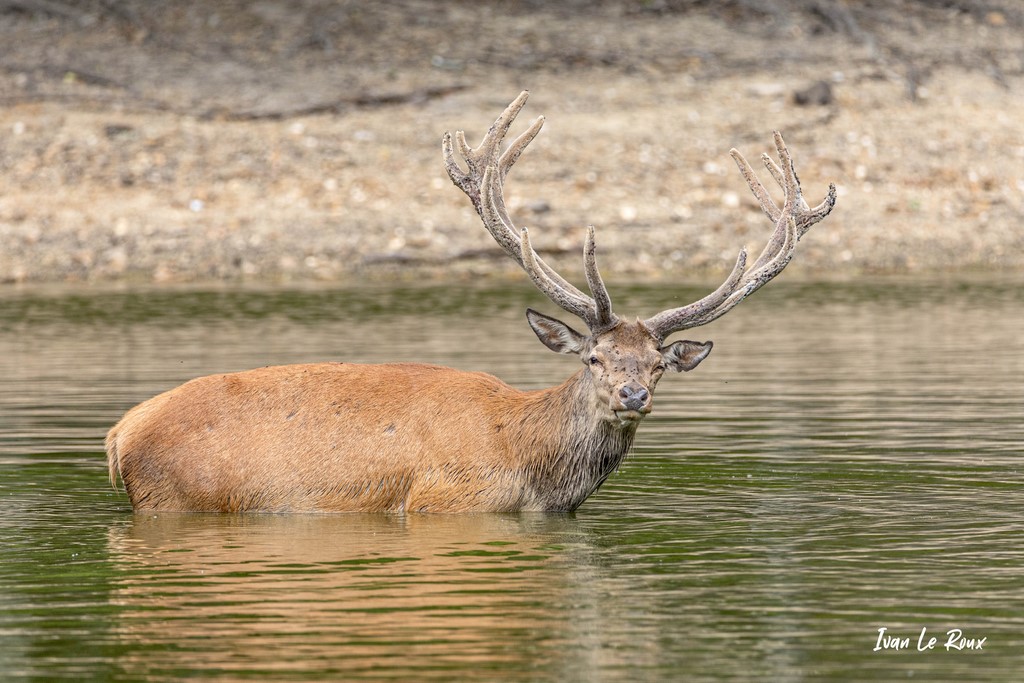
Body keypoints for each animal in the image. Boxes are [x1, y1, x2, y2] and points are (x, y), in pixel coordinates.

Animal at [106, 91, 836, 513]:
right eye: (594, 358)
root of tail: (120, 433)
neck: (532, 466)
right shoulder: (446, 501)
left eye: (657, 364)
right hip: (176, 496)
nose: (633, 395)